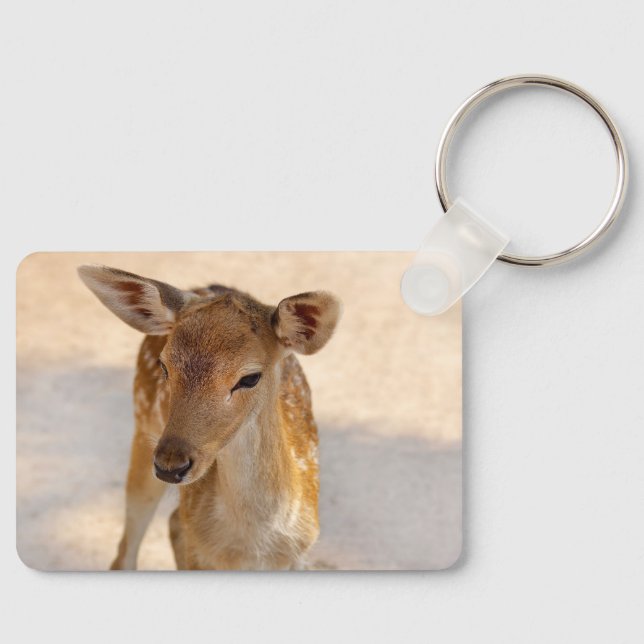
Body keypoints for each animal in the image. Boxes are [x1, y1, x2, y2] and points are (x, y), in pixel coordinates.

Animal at [78, 265, 341, 570]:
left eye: (250, 378)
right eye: (164, 366)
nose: (170, 465)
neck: (251, 548)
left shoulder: (300, 555)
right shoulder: (199, 552)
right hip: (143, 428)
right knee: (127, 550)